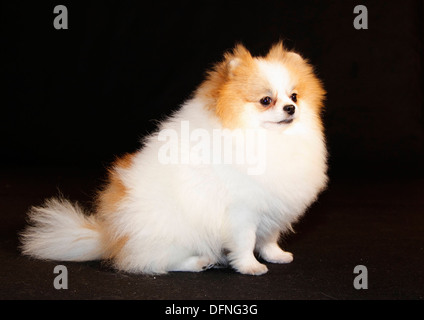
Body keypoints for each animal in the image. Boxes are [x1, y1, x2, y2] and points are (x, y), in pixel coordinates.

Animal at [20, 43, 328, 276]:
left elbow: (268, 237)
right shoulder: (242, 211)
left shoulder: (273, 204)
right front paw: (250, 267)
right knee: (157, 261)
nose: (290, 108)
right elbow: (245, 241)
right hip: (175, 232)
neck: (268, 139)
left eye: (294, 96)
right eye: (266, 100)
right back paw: (199, 262)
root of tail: (112, 235)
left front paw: (275, 255)